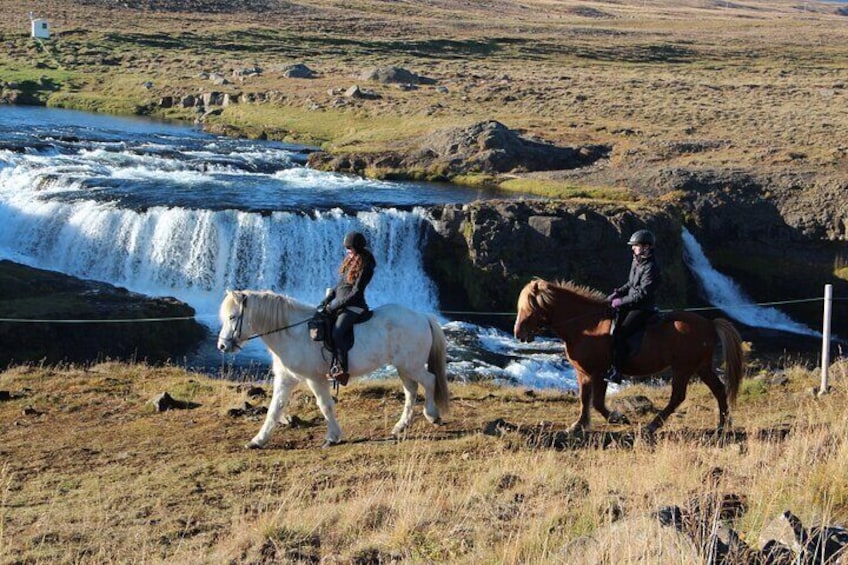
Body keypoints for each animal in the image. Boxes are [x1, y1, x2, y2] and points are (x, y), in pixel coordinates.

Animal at [219, 290, 450, 446]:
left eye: (232, 317)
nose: (221, 346)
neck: (292, 333)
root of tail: (422, 316)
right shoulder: (286, 379)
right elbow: (275, 409)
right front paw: (258, 440)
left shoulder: (315, 378)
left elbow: (325, 405)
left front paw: (332, 437)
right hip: (403, 367)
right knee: (411, 391)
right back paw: (401, 425)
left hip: (411, 365)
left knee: (429, 381)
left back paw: (432, 415)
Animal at [510, 280, 744, 434]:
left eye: (530, 306)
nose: (518, 334)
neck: (587, 326)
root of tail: (709, 324)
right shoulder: (583, 373)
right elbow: (585, 399)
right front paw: (578, 425)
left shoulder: (599, 372)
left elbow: (596, 402)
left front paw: (617, 417)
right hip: (700, 367)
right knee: (719, 390)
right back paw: (722, 425)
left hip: (683, 368)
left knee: (678, 396)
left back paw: (653, 425)